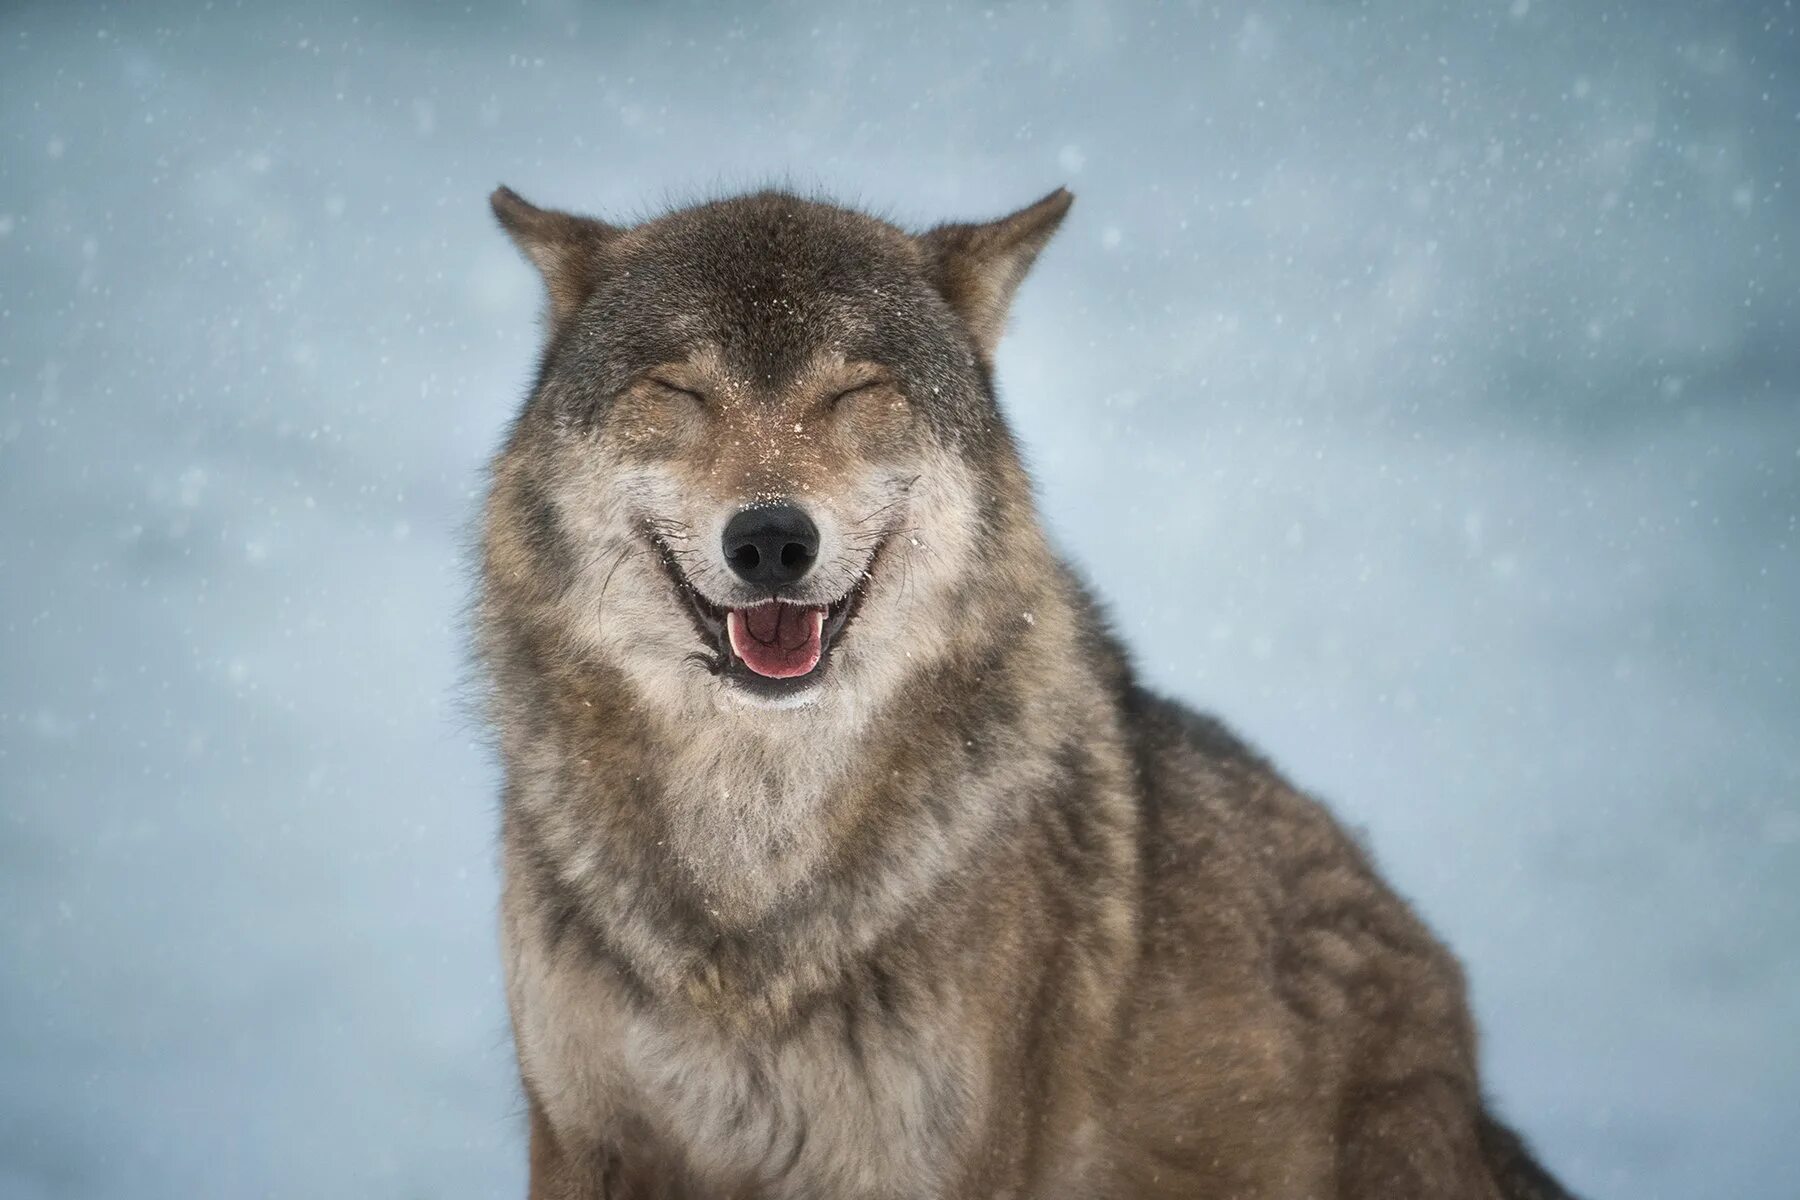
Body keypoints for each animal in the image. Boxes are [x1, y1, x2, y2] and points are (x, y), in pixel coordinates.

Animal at [475, 180, 1576, 1200]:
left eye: (856, 391)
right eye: (681, 389)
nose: (773, 538)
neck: (749, 897)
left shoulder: (935, 1163)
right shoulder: (581, 1141)